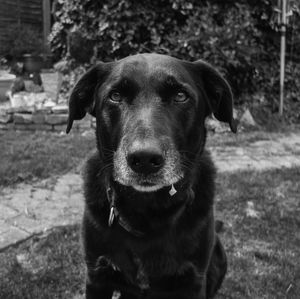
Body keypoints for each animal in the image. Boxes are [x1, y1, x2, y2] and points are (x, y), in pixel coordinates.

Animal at [66, 52, 237, 298]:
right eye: (115, 96)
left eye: (180, 96)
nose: (144, 159)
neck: (147, 210)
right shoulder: (96, 276)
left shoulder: (194, 280)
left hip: (219, 257)